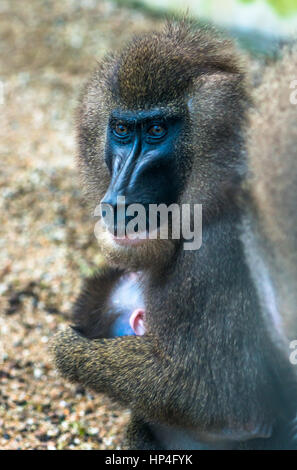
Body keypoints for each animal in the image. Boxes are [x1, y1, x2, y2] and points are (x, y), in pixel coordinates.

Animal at [52, 20, 296, 450]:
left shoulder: (215, 257)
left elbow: (225, 405)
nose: (117, 197)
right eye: (121, 129)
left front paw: (69, 347)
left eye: (156, 130)